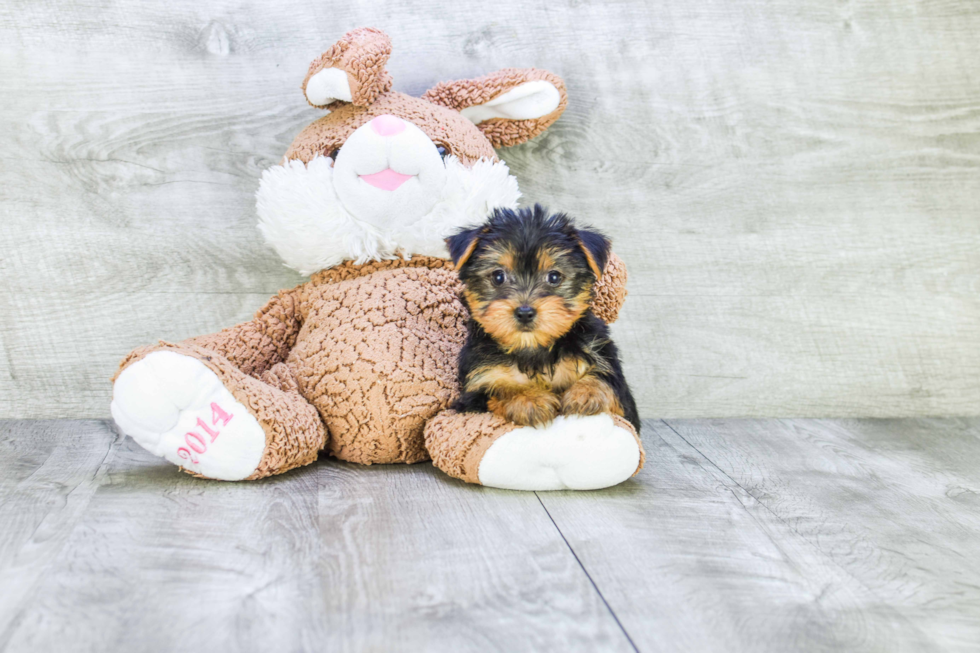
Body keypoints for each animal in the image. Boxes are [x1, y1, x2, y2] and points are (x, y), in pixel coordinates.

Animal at [446, 204, 644, 432]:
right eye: (498, 276)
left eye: (554, 276)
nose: (524, 312)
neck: (533, 347)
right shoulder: (477, 387)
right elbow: (499, 389)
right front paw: (530, 399)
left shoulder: (607, 367)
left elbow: (605, 380)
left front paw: (586, 393)